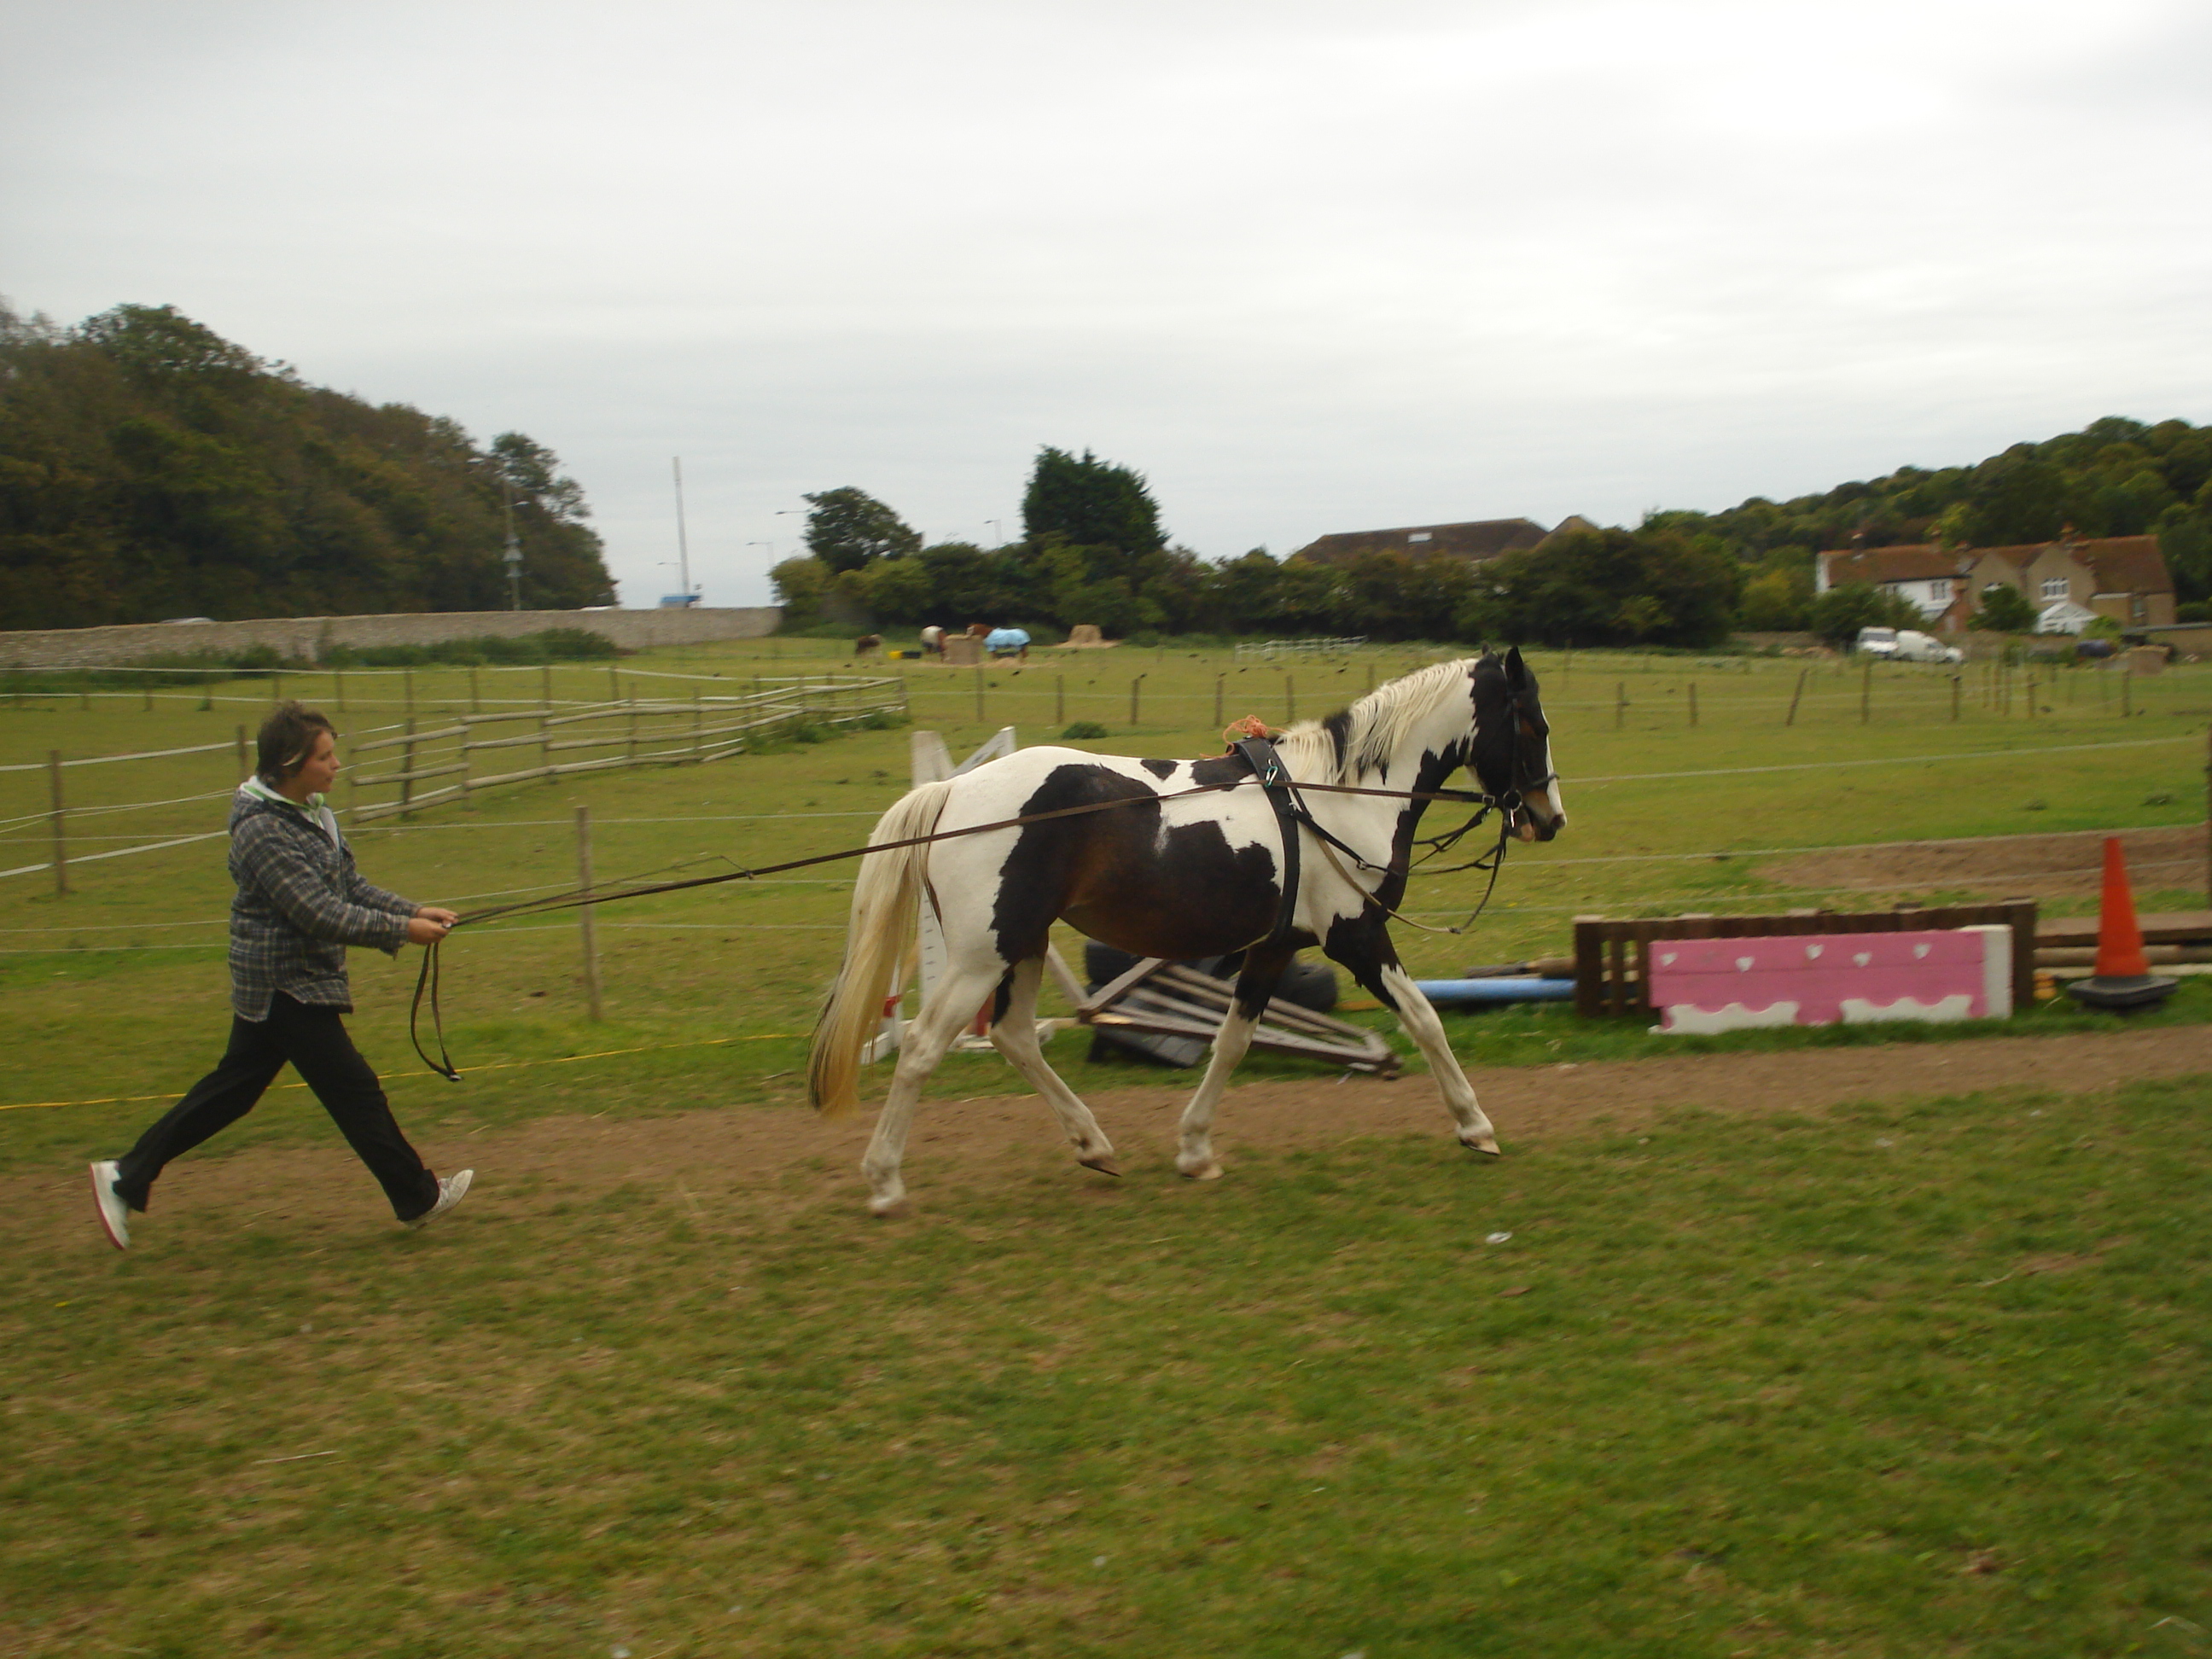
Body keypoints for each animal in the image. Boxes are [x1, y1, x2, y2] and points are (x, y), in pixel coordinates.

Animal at [809, 650, 1567, 1214]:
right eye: (1532, 725)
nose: (1548, 817)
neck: (1341, 799)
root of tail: (952, 795)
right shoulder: (1356, 937)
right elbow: (1425, 1019)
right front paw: (1475, 1126)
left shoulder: (1273, 948)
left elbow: (1231, 1043)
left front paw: (1196, 1149)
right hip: (979, 957)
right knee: (922, 1052)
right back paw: (885, 1181)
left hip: (1020, 946)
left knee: (1016, 1039)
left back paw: (1093, 1144)